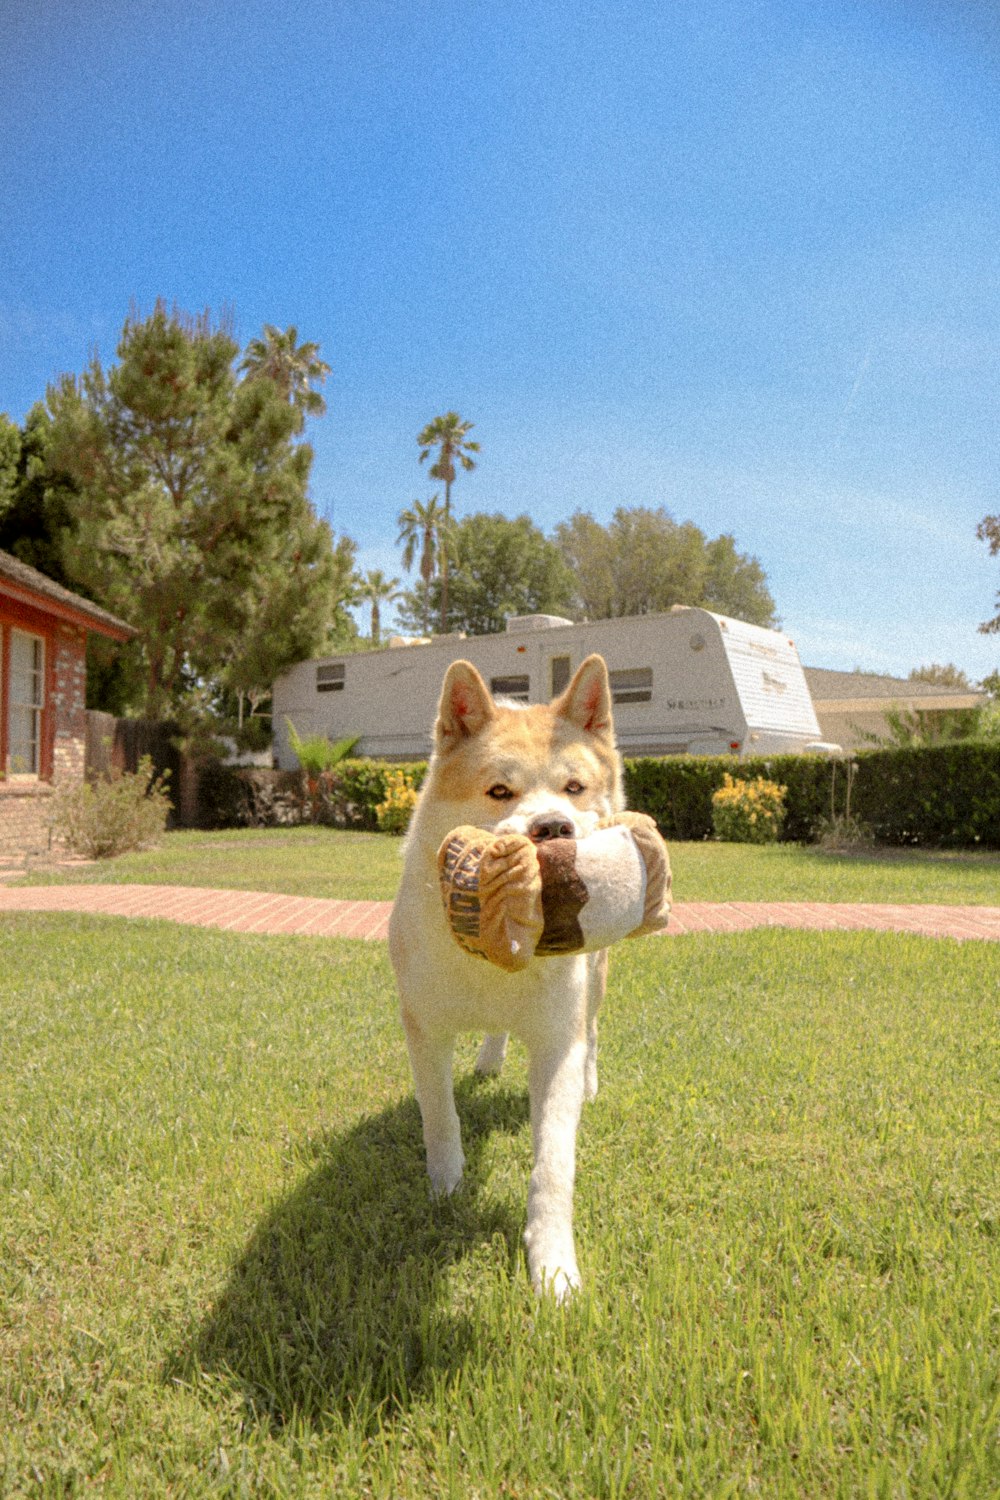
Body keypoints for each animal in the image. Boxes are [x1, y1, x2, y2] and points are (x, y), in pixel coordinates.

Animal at [389, 651, 626, 1296]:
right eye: (500, 791)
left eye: (574, 788)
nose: (553, 827)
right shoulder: (424, 1029)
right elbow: (439, 1118)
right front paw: (446, 1188)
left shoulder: (555, 1043)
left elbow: (554, 1165)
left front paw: (553, 1268)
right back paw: (490, 1059)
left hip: (596, 981)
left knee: (594, 1029)